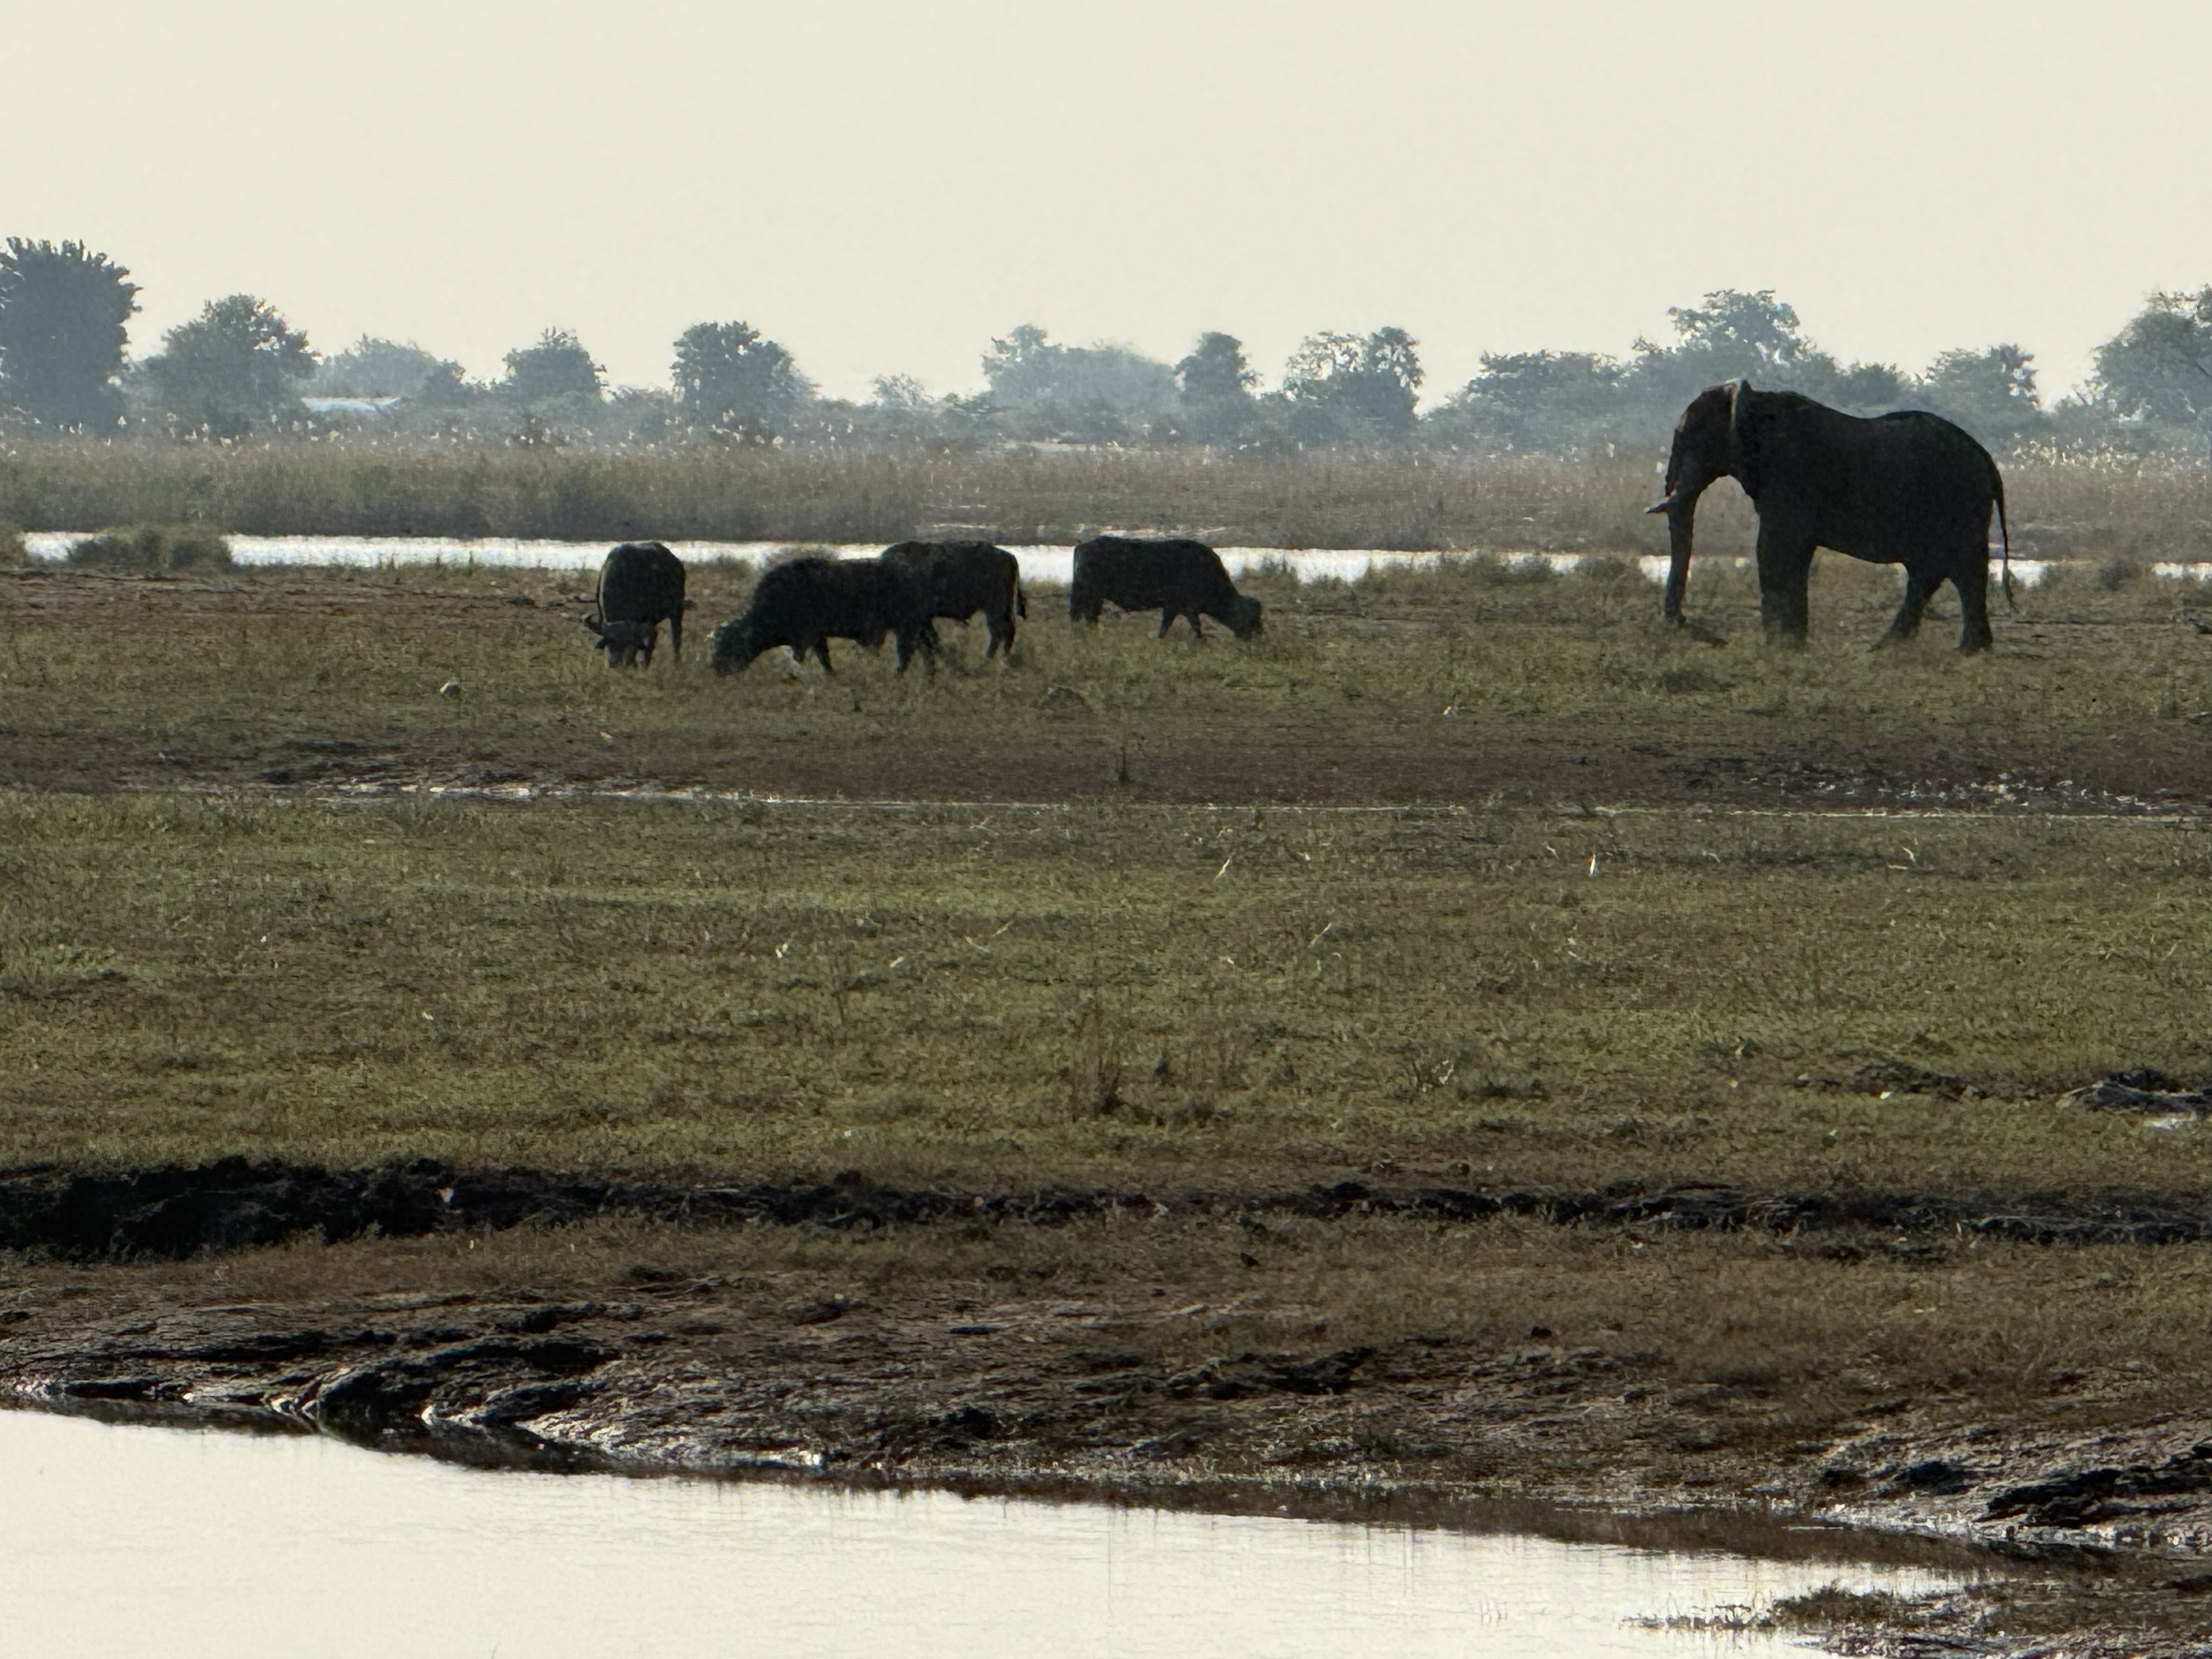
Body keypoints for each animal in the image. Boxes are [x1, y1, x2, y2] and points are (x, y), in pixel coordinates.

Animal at [582, 541, 688, 667]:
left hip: (677, 610)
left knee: (675, 637)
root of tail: (676, 562)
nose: (614, 664)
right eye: (610, 642)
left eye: (625, 643)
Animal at [711, 557, 938, 676]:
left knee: (908, 652)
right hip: (913, 628)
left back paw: (899, 674)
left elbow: (812, 657)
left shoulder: (807, 637)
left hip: (906, 627)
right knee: (925, 651)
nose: (715, 667)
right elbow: (823, 657)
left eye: (730, 644)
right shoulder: (817, 637)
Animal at [1069, 536, 1262, 640]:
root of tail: (1083, 547)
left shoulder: (1180, 608)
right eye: (1250, 618)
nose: (1257, 636)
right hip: (1093, 596)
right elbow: (1185, 627)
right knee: (1090, 617)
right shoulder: (1179, 607)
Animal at [1648, 381, 2012, 652]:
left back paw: (1959, 650)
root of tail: (1989, 462)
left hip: (1958, 502)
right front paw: (1791, 642)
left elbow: (1773, 548)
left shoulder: (1790, 477)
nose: (1686, 624)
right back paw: (1895, 648)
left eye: (1686, 437)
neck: (1754, 400)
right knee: (1936, 570)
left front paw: (1780, 644)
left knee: (1959, 567)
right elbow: (1786, 551)